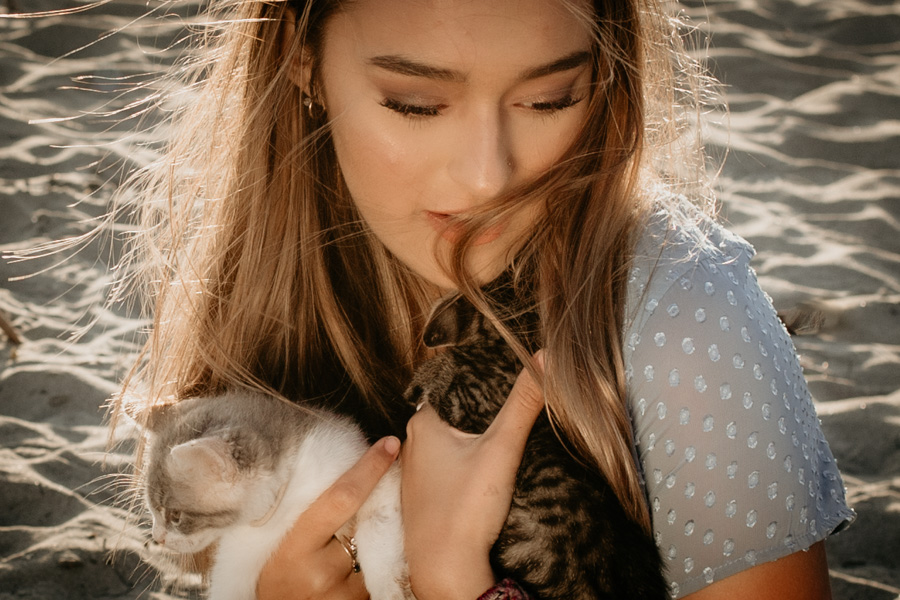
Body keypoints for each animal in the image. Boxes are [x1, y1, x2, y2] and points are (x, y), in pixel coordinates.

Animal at [138, 391, 411, 600]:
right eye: (152, 510)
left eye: (175, 515)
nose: (156, 537)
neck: (285, 505)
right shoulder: (236, 559)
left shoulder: (374, 473)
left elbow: (376, 532)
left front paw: (387, 588)